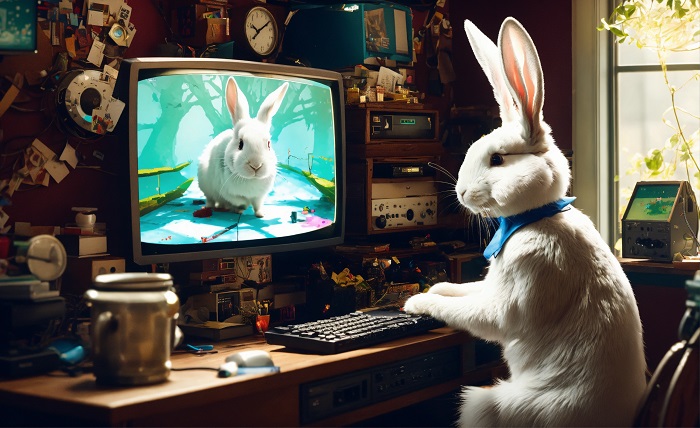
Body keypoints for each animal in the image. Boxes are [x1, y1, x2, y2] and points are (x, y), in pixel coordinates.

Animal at [197, 77, 289, 218]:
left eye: (268, 144)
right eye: (240, 144)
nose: (256, 165)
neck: (251, 180)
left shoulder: (259, 196)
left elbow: (257, 205)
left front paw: (260, 214)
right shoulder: (228, 192)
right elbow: (240, 200)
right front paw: (241, 207)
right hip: (206, 188)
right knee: (211, 199)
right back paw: (211, 207)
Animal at [403, 17, 647, 427]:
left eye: (498, 159)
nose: (461, 193)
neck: (535, 218)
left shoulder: (513, 295)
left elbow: (471, 314)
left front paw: (416, 302)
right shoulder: (489, 286)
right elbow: (462, 290)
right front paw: (434, 288)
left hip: (486, 406)